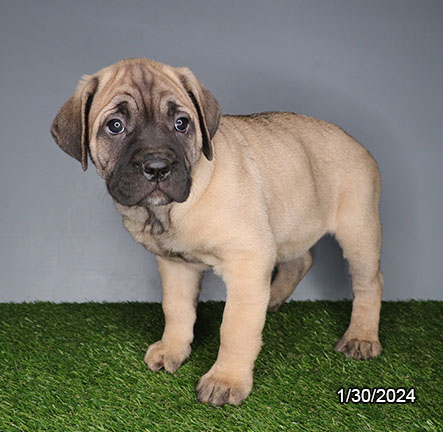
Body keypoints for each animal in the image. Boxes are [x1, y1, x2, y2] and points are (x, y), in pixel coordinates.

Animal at [51, 59, 386, 406]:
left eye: (182, 123)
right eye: (115, 126)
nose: (157, 167)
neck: (169, 212)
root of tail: (355, 141)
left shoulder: (247, 261)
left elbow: (235, 326)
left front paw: (226, 379)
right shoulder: (176, 266)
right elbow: (177, 309)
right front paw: (173, 349)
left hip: (358, 231)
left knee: (369, 283)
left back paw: (361, 336)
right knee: (300, 260)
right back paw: (272, 298)